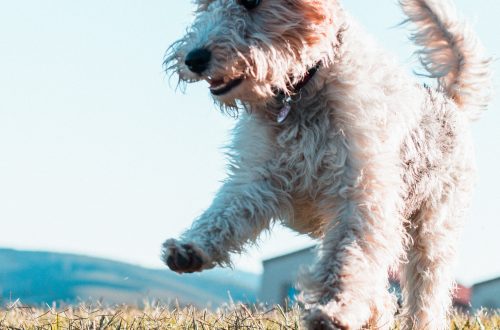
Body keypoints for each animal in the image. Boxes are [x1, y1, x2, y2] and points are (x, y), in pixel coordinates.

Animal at [161, 1, 492, 328]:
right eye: (205, 5)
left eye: (252, 3)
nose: (194, 58)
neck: (302, 91)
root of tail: (449, 101)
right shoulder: (259, 177)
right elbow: (224, 215)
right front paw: (190, 249)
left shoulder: (361, 195)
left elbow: (346, 257)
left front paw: (334, 310)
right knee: (383, 296)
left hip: (432, 234)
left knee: (425, 298)